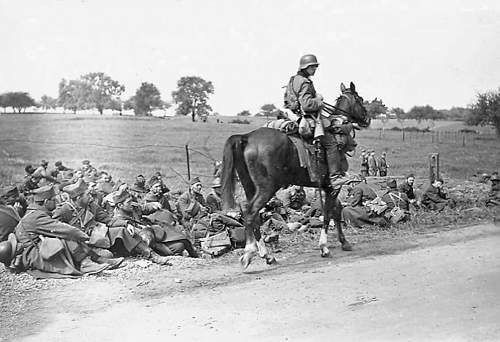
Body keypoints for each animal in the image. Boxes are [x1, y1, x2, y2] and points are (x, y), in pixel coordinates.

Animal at [221, 81, 370, 268]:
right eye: (360, 99)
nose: (367, 118)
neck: (337, 135)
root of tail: (246, 137)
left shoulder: (328, 186)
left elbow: (336, 210)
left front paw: (344, 242)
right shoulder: (334, 185)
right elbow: (329, 212)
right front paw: (324, 247)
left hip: (250, 187)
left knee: (252, 216)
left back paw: (267, 255)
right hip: (266, 188)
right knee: (250, 213)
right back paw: (249, 253)